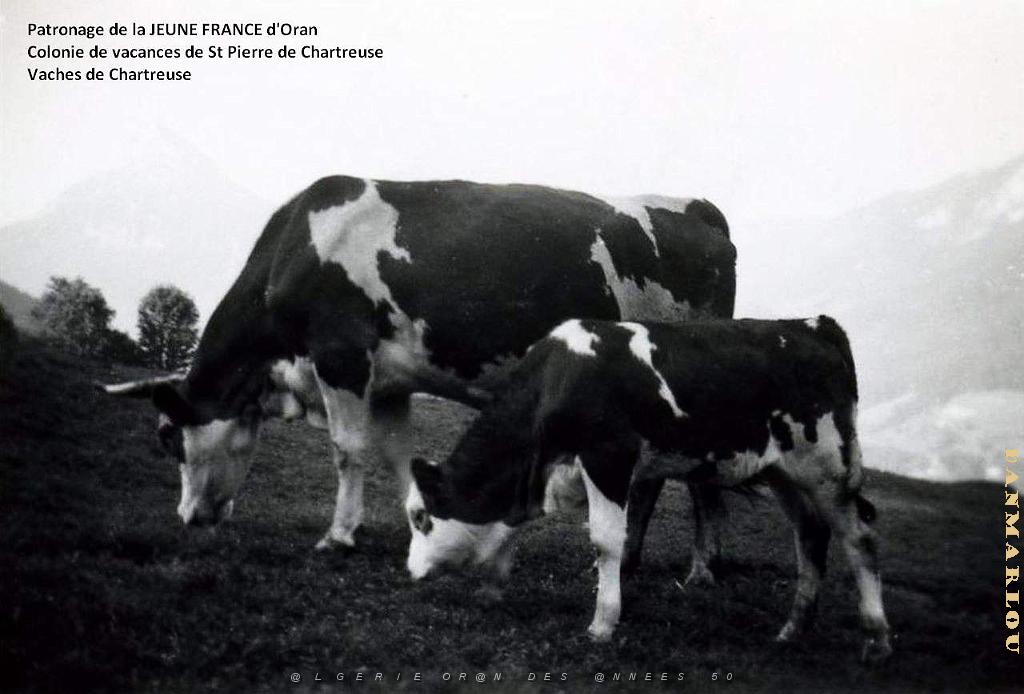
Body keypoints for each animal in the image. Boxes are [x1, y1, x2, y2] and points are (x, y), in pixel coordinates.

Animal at [103, 176, 737, 567]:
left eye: (168, 438)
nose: (188, 517)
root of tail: (698, 208)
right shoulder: (391, 380)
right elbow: (397, 457)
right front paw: (420, 523)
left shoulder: (340, 356)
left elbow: (348, 450)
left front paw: (338, 536)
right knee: (655, 479)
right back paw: (633, 558)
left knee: (697, 477)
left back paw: (700, 569)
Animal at [404, 316, 892, 662]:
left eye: (420, 516)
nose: (410, 572)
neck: (560, 377)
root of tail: (815, 326)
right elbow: (512, 530)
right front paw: (492, 587)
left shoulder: (608, 458)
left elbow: (606, 543)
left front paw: (603, 624)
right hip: (782, 472)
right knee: (811, 534)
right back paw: (792, 630)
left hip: (828, 466)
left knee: (860, 536)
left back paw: (877, 638)